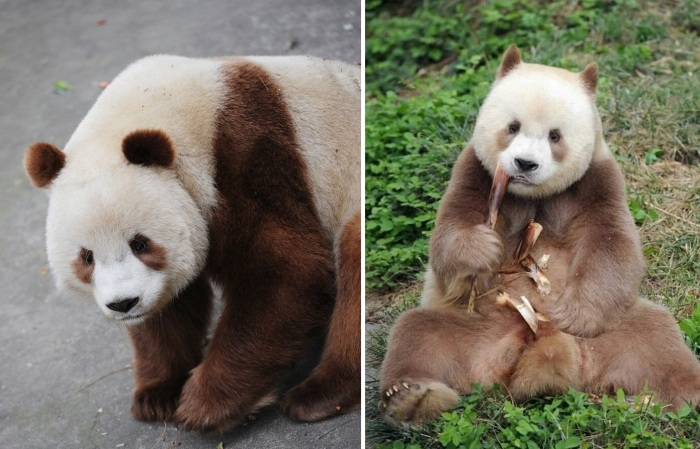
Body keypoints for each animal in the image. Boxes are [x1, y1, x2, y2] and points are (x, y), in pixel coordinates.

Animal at [23, 54, 360, 432]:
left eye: (140, 244)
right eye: (87, 257)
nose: (123, 304)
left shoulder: (247, 159)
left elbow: (288, 272)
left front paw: (205, 403)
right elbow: (169, 310)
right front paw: (157, 395)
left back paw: (320, 394)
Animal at [378, 45, 700, 428]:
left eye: (554, 135)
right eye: (513, 126)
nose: (524, 164)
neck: (533, 195)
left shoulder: (596, 180)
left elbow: (611, 245)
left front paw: (574, 314)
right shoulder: (477, 172)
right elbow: (449, 234)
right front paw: (482, 251)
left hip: (614, 332)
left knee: (657, 337)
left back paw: (682, 394)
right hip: (471, 329)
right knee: (417, 334)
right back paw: (412, 397)